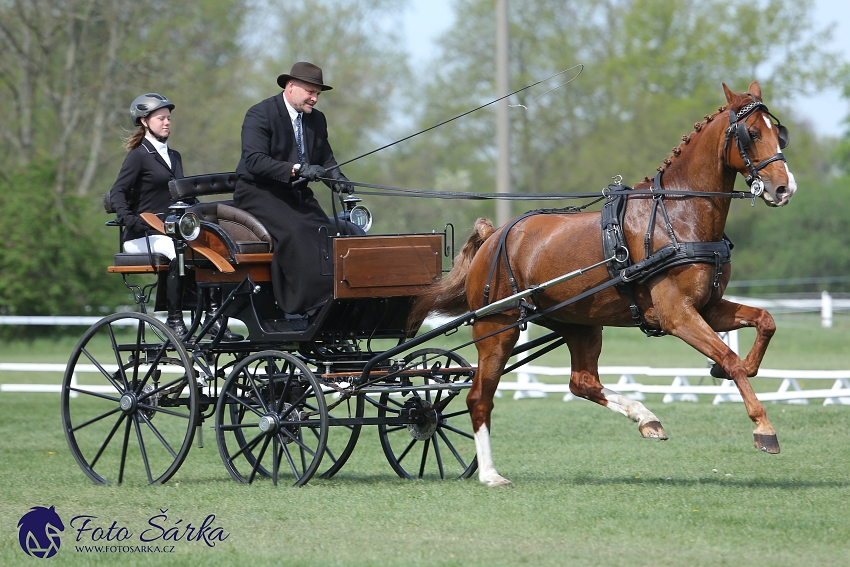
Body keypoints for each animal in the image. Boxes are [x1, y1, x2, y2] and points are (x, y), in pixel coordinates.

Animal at [410, 81, 796, 488]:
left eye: (778, 131)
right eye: (752, 133)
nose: (784, 188)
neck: (678, 215)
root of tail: (492, 236)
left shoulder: (708, 307)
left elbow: (764, 324)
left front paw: (729, 372)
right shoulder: (678, 315)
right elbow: (730, 359)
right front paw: (763, 429)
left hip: (580, 324)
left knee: (582, 382)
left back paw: (646, 418)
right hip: (496, 327)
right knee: (479, 398)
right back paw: (489, 474)